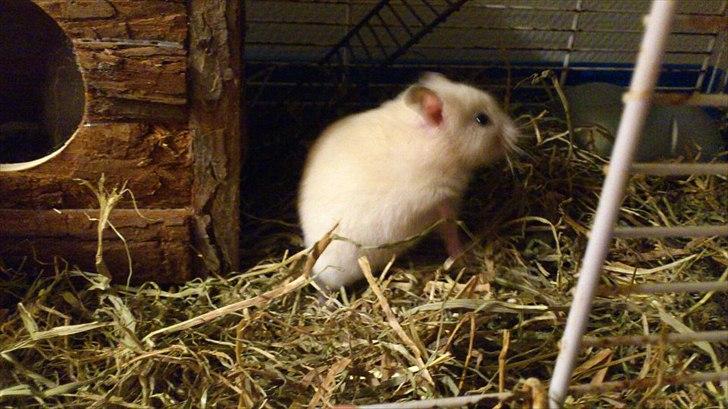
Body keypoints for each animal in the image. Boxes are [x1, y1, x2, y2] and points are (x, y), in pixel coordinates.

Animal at [298, 73, 519, 291]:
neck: (442, 148)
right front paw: (463, 256)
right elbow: (450, 233)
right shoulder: (443, 203)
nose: (517, 134)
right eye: (482, 119)